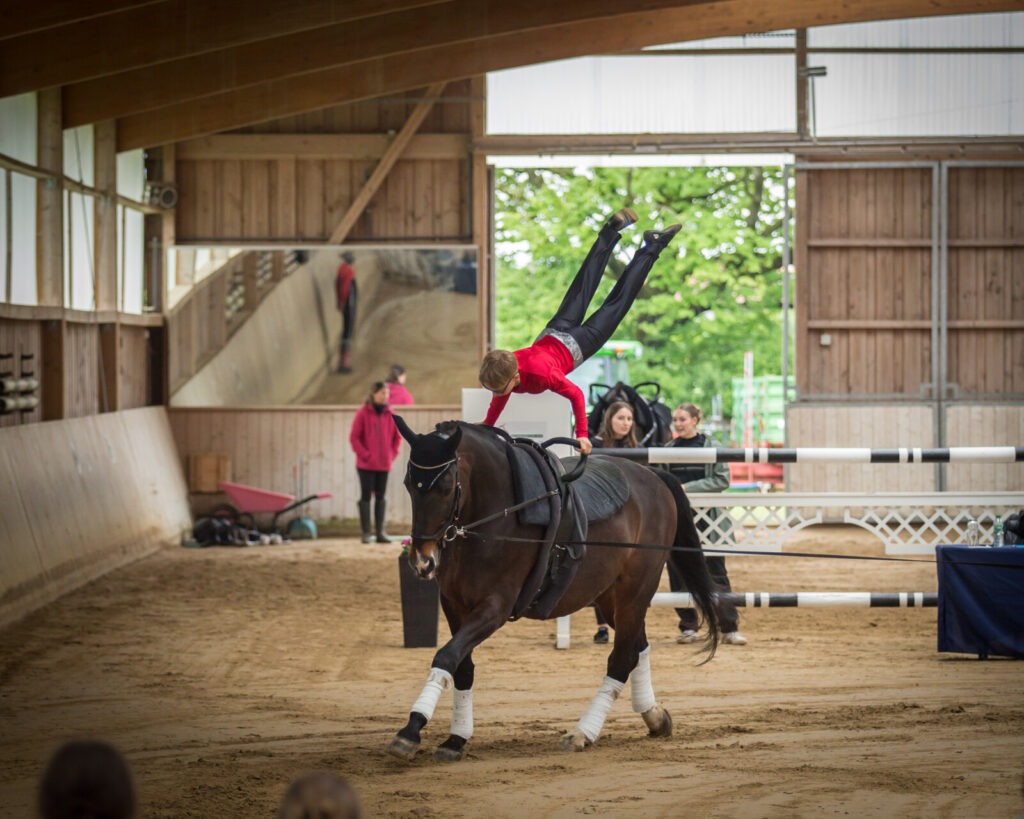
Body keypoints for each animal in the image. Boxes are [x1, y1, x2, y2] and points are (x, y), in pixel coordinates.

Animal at [387, 417, 721, 762]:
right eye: (409, 484)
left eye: (445, 486)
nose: (422, 561)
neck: (494, 518)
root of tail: (653, 475)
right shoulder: (453, 604)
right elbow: (461, 666)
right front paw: (456, 738)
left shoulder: (495, 607)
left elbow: (446, 655)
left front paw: (411, 730)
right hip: (611, 598)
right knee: (636, 648)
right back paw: (654, 717)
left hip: (635, 591)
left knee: (621, 660)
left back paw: (583, 732)